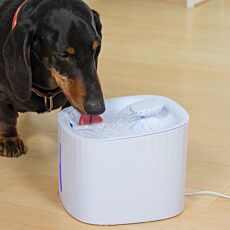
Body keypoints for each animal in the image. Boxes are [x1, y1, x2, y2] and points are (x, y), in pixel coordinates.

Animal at [0, 0, 105, 157]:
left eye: (96, 47)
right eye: (63, 54)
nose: (97, 108)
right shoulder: (2, 94)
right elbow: (7, 117)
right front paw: (9, 140)